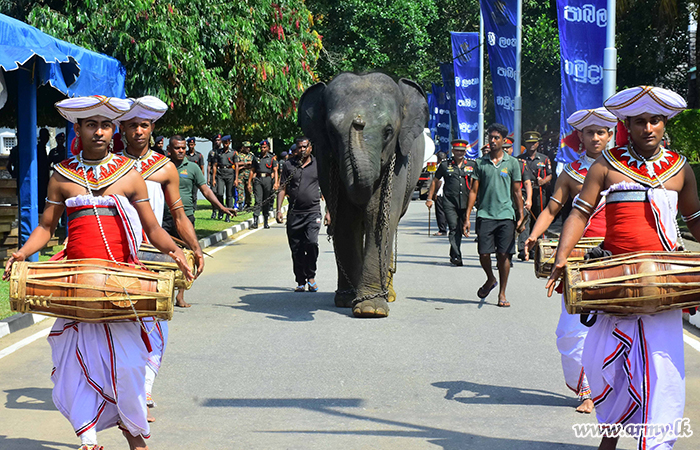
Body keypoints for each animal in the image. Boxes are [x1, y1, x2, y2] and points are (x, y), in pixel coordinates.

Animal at [298, 73, 430, 316]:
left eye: (388, 132)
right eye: (332, 131)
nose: (358, 121)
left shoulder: (400, 161)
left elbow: (379, 215)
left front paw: (371, 310)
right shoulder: (326, 159)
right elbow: (346, 218)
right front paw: (350, 301)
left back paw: (388, 295)